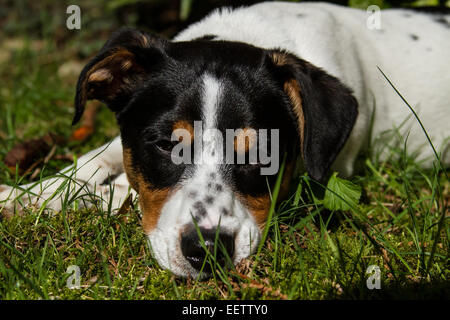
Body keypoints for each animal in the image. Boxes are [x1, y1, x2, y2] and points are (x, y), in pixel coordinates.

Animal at [0, 1, 450, 278]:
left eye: (264, 153)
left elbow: (120, 188)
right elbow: (96, 160)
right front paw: (27, 195)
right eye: (166, 144)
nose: (206, 251)